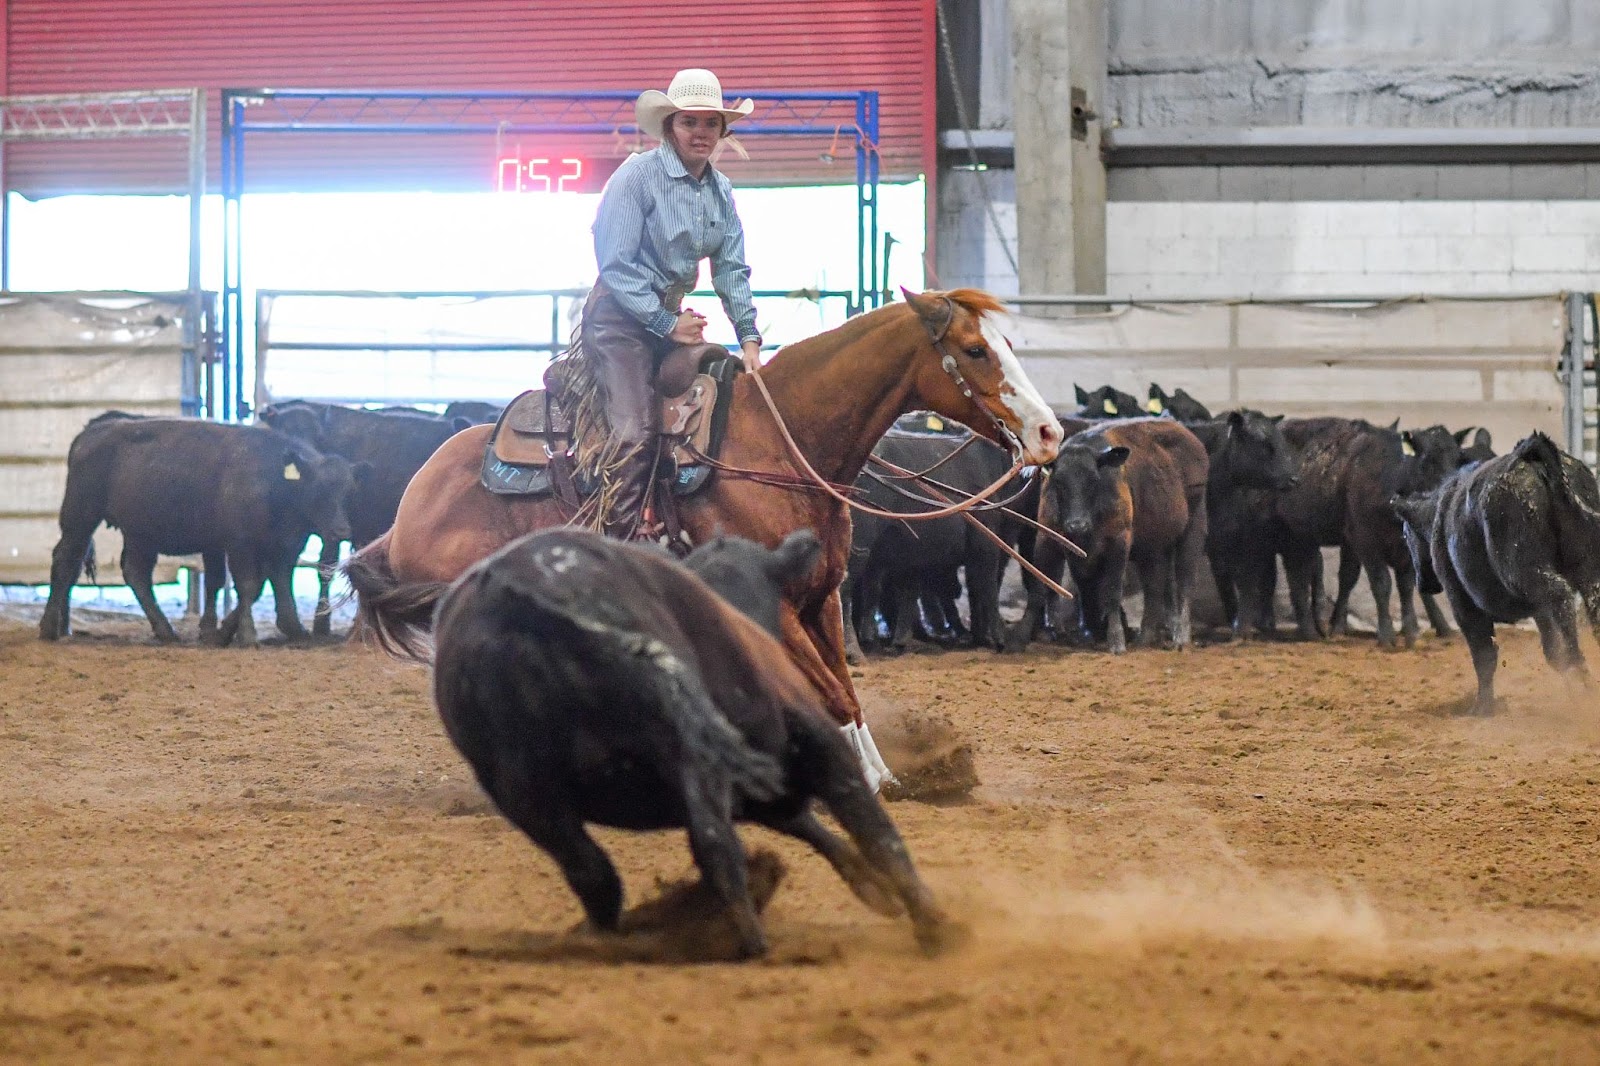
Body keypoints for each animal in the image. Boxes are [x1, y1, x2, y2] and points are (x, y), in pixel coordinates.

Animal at [39, 416, 358, 646]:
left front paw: (289, 628)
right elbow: (249, 585)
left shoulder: (282, 546)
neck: (274, 478)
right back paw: (49, 628)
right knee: (65, 560)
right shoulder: (240, 544)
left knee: (134, 573)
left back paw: (164, 630)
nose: (342, 529)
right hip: (80, 517)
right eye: (319, 489)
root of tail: (92, 432)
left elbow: (273, 581)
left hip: (140, 534)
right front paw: (246, 634)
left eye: (347, 491)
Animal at [347, 286, 1062, 784]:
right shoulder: (769, 607)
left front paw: (881, 773)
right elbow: (829, 694)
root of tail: (412, 504)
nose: (1050, 432)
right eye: (975, 350)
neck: (780, 445)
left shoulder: (823, 597)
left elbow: (846, 690)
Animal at [428, 528, 947, 953]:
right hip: (694, 749)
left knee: (595, 871)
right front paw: (928, 918)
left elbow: (810, 823)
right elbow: (870, 826)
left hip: (524, 793)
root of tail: (534, 590)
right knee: (717, 844)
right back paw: (752, 940)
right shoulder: (811, 741)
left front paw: (875, 891)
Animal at [1388, 432, 1600, 713]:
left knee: (1560, 595)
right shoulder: (1540, 610)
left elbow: (1484, 655)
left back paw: (1581, 671)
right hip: (1586, 571)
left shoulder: (1462, 603)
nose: (1424, 585)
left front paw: (1483, 707)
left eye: (1405, 534)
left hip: (1524, 571)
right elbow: (1553, 651)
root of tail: (1532, 454)